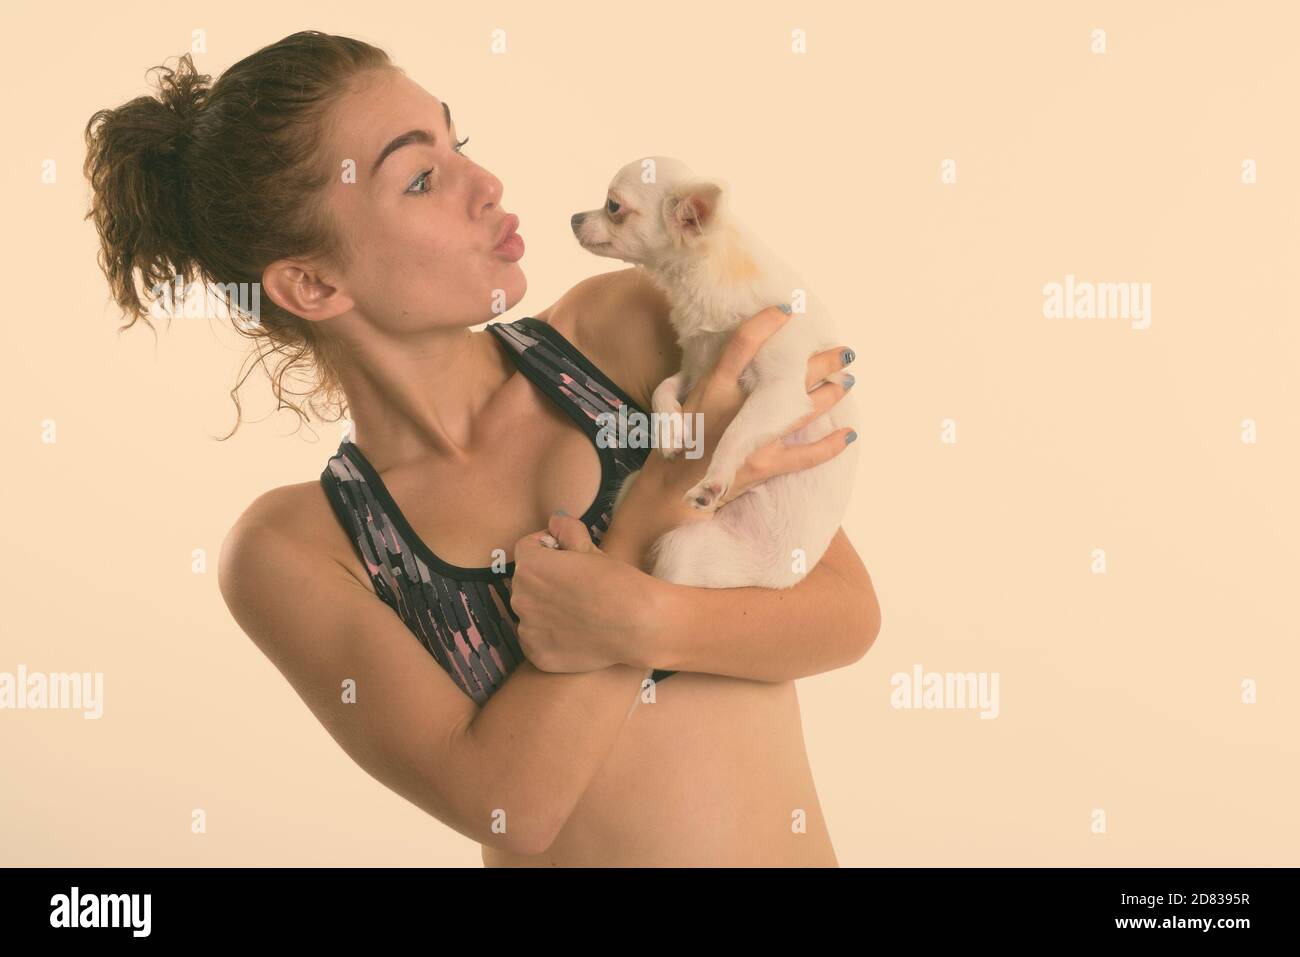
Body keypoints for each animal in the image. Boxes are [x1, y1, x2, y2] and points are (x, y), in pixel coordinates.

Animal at [566, 155, 852, 590]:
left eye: (613, 206)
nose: (574, 217)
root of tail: (772, 582)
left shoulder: (781, 389)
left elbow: (736, 431)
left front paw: (713, 479)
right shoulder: (697, 368)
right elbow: (663, 389)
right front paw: (670, 430)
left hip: (682, 551)